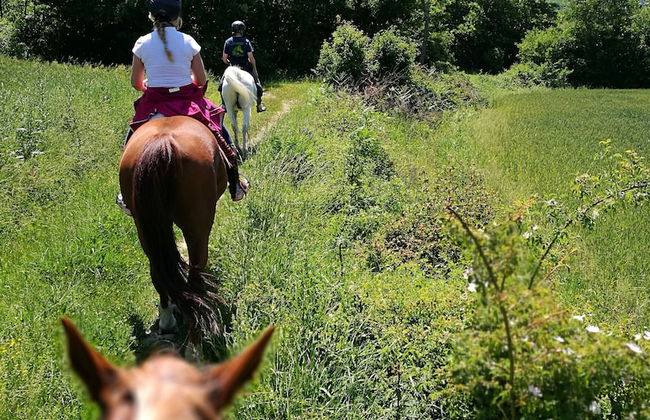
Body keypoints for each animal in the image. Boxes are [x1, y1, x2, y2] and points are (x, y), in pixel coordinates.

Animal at [119, 115, 227, 341]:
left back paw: (168, 321)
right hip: (197, 225)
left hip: (145, 228)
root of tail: (163, 143)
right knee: (196, 269)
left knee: (157, 270)